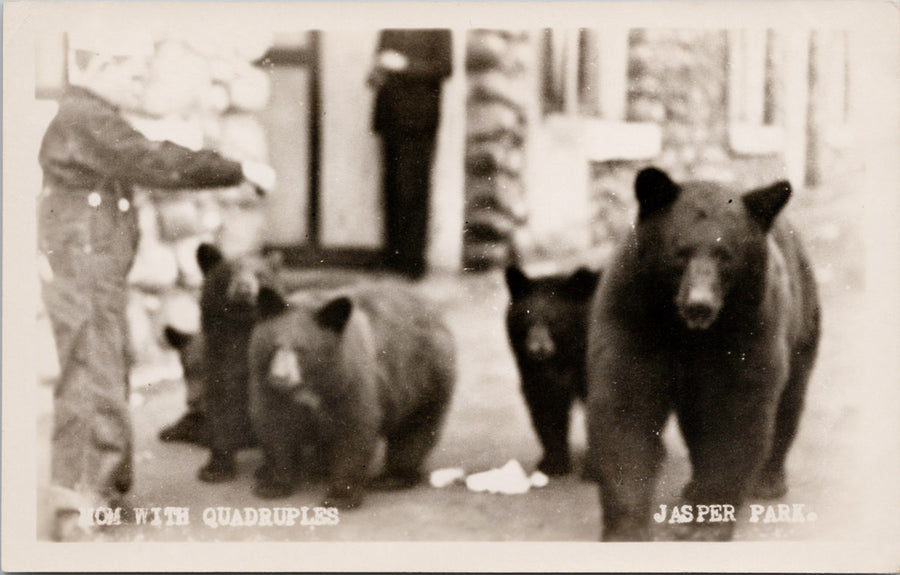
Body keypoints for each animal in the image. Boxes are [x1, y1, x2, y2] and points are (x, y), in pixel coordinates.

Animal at [250, 284, 454, 508]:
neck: (314, 383)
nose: (280, 377)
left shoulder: (351, 381)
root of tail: (432, 310)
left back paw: (392, 478)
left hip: (423, 379)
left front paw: (340, 496)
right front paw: (273, 485)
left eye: (302, 350)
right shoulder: (270, 388)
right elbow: (276, 426)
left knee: (413, 430)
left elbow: (354, 430)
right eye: (274, 347)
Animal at [506, 266, 596, 476]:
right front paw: (553, 463)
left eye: (555, 320)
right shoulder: (530, 365)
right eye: (526, 318)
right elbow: (545, 402)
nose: (537, 348)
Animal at [584, 165, 824, 540]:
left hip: (802, 320)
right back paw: (692, 487)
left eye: (726, 256)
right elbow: (626, 404)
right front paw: (627, 527)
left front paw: (707, 523)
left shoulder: (749, 324)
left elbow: (736, 412)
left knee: (789, 402)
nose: (700, 305)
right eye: (680, 252)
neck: (688, 332)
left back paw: (768, 481)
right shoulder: (633, 312)